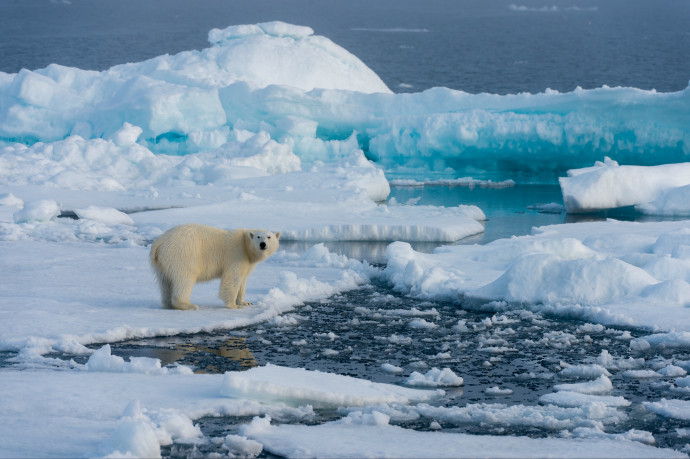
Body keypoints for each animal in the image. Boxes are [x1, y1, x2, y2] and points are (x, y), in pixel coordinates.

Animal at [150, 224, 280, 310]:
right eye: (258, 237)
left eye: (269, 237)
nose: (263, 244)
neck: (245, 245)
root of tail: (159, 243)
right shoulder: (236, 254)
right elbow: (232, 278)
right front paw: (234, 305)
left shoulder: (248, 263)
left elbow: (243, 280)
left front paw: (245, 302)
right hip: (182, 254)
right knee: (185, 278)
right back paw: (188, 305)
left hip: (161, 263)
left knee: (165, 282)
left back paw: (168, 304)